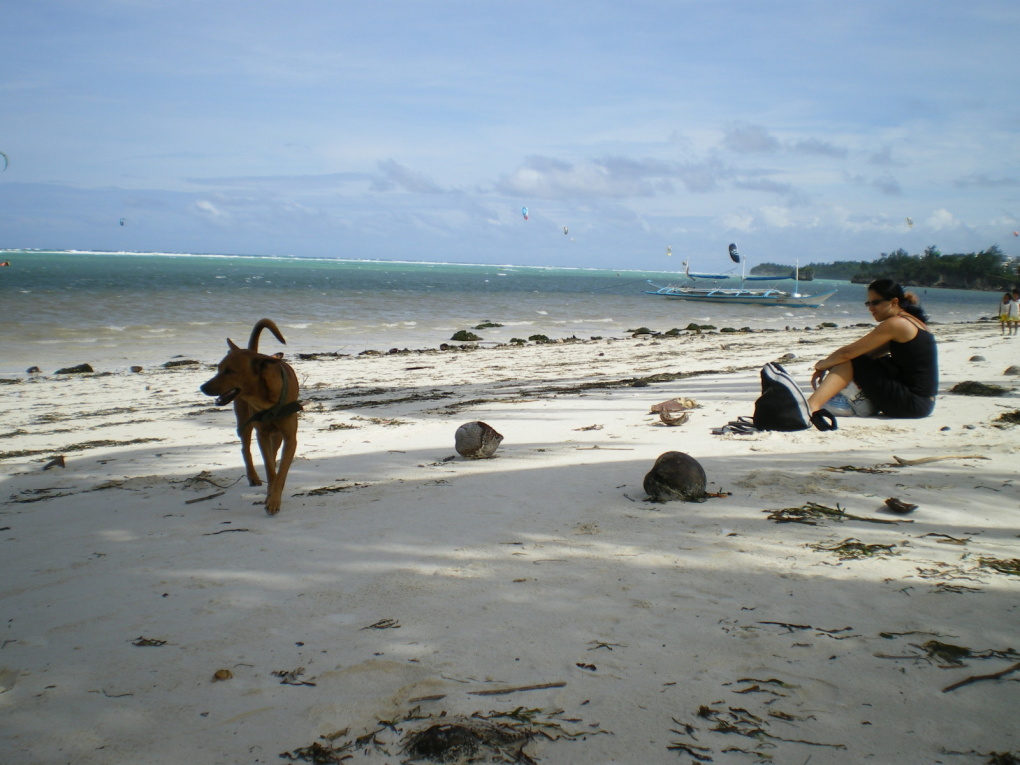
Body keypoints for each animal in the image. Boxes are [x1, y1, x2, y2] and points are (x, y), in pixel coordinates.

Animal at [199, 318, 301, 516]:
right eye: (218, 369)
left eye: (230, 371)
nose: (203, 387)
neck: (267, 400)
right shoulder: (262, 434)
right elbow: (269, 467)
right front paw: (271, 496)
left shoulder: (289, 438)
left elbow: (281, 469)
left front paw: (274, 498)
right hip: (244, 421)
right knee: (246, 448)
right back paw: (253, 477)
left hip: (276, 435)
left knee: (273, 451)